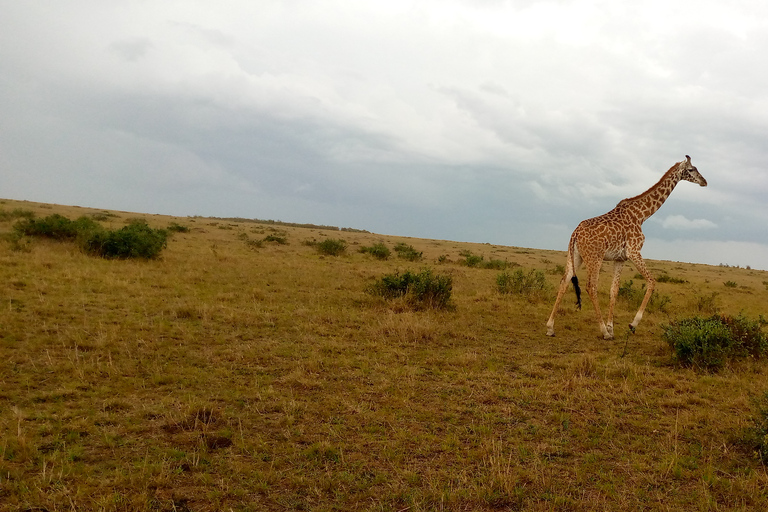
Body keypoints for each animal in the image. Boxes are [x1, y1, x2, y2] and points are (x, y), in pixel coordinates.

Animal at [544, 156, 708, 340]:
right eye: (692, 169)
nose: (704, 181)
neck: (643, 215)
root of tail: (576, 233)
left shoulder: (620, 258)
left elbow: (614, 290)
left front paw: (611, 328)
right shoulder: (634, 251)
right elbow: (652, 281)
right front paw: (631, 325)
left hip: (575, 256)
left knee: (564, 281)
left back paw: (550, 328)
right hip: (595, 258)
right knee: (591, 287)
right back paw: (602, 331)